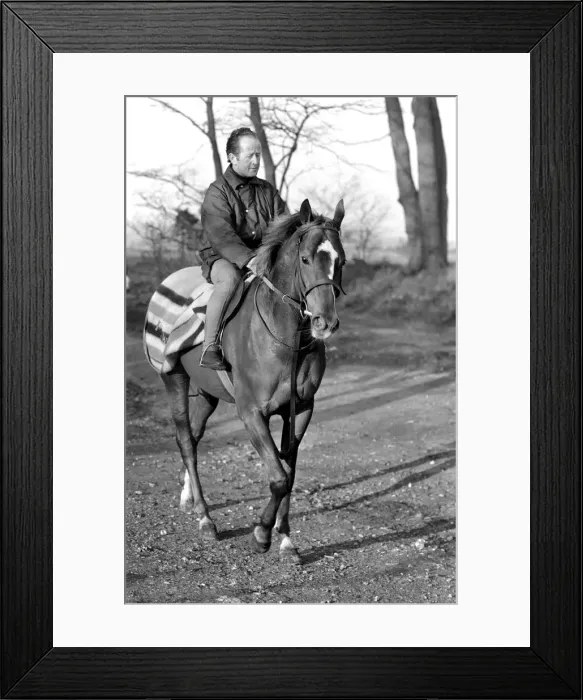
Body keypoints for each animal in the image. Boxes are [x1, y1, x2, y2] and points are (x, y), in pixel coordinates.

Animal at [149, 198, 346, 563]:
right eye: (306, 258)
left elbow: (290, 473)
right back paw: (205, 518)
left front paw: (286, 540)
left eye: (341, 260)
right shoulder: (252, 413)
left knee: (194, 436)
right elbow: (279, 477)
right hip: (174, 380)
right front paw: (262, 535)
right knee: (186, 443)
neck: (284, 338)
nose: (325, 323)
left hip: (207, 394)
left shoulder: (300, 410)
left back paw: (189, 498)